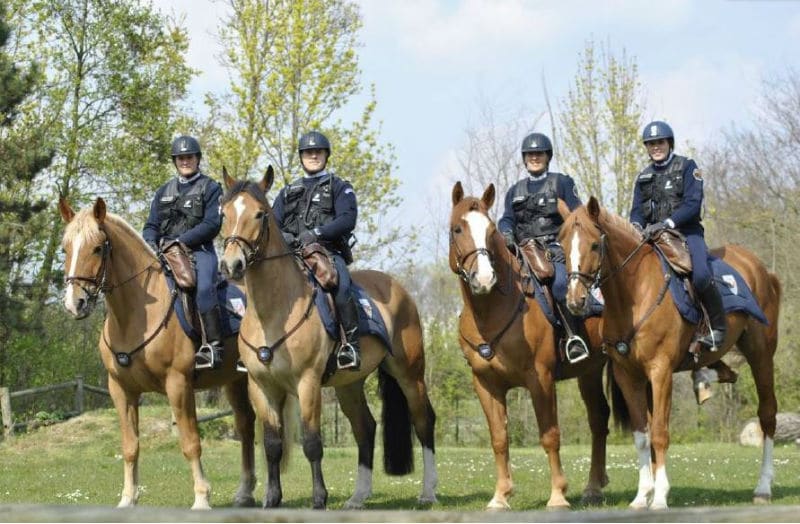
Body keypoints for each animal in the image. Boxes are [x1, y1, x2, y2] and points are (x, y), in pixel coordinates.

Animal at [58, 196, 255, 508]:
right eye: (65, 248)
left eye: (98, 247)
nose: (74, 303)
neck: (135, 315)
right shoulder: (121, 390)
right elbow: (130, 446)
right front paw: (128, 499)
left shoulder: (178, 384)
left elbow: (190, 443)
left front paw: (202, 498)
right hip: (235, 380)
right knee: (246, 426)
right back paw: (245, 492)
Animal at [217, 167, 438, 508]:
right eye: (224, 213)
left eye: (259, 214)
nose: (231, 265)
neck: (273, 312)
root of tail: (401, 290)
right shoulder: (261, 386)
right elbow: (272, 444)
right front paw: (272, 499)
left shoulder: (307, 382)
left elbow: (311, 443)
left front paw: (319, 499)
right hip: (350, 384)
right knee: (365, 428)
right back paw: (358, 497)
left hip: (410, 374)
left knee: (423, 421)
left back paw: (428, 492)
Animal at [446, 182, 608, 510]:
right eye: (457, 228)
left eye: (490, 230)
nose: (484, 278)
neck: (492, 311)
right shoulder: (485, 384)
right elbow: (499, 438)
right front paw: (500, 496)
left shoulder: (540, 379)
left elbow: (550, 435)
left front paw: (558, 495)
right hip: (589, 372)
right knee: (599, 421)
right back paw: (594, 487)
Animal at [556, 195, 780, 508]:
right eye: (562, 244)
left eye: (594, 245)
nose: (575, 300)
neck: (634, 294)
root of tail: (761, 269)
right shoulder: (628, 376)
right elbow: (642, 435)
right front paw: (642, 496)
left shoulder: (660, 372)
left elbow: (660, 433)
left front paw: (660, 496)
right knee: (729, 373)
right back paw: (704, 379)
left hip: (761, 354)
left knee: (767, 415)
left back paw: (763, 487)